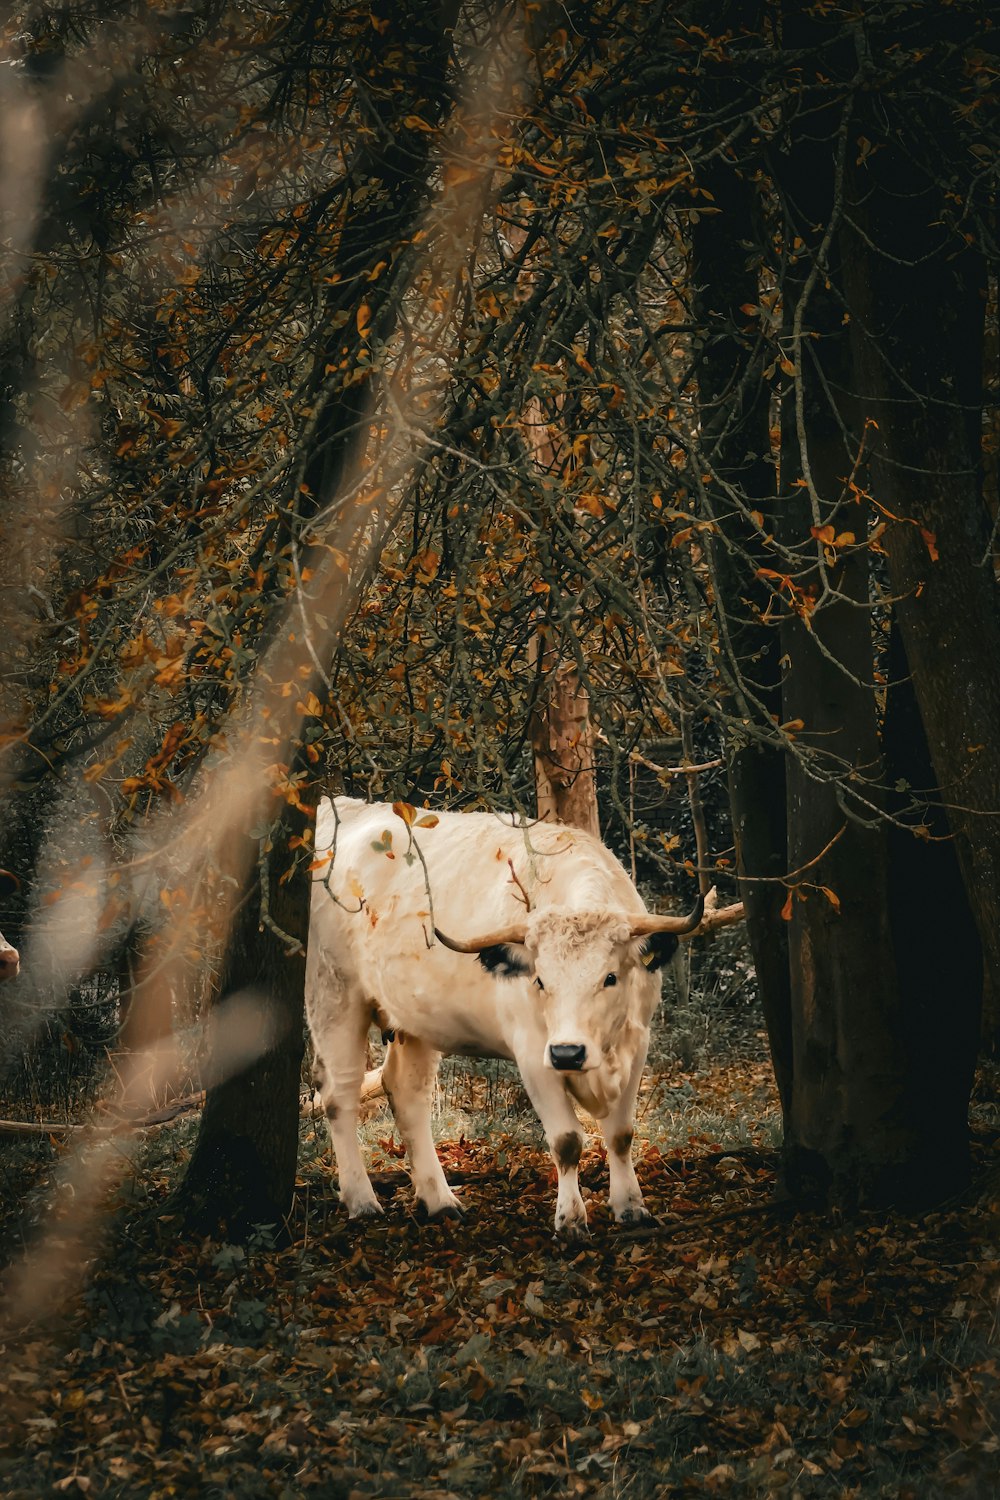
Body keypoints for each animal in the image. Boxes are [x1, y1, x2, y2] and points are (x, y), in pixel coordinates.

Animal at [308, 804, 707, 1236]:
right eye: (540, 980)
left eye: (610, 977)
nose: (568, 1053)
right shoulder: (533, 1052)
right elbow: (567, 1141)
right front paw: (570, 1219)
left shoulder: (637, 1044)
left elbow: (620, 1134)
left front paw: (631, 1207)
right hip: (333, 996)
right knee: (339, 1094)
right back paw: (362, 1200)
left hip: (414, 1021)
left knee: (406, 1092)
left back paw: (439, 1200)